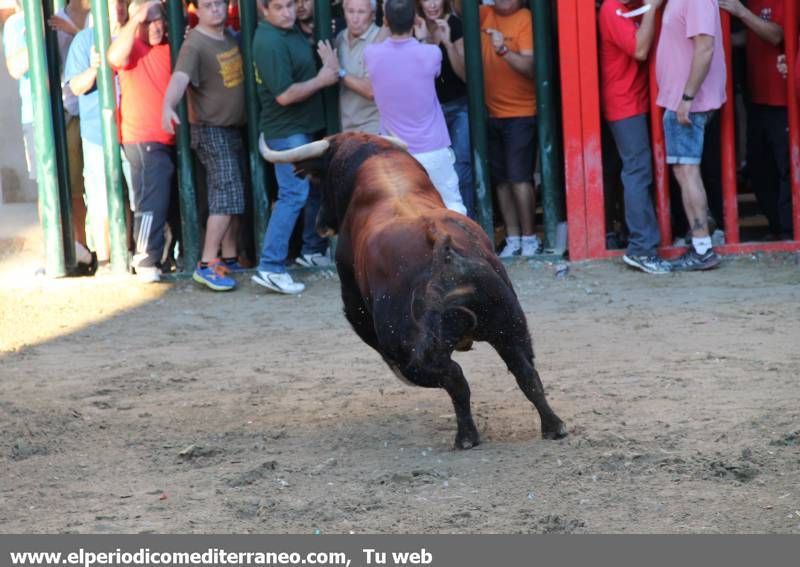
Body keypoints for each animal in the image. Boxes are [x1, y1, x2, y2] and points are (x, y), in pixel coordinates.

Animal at [260, 132, 564, 448]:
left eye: (321, 180)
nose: (321, 225)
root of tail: (444, 250)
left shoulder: (354, 300)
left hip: (412, 348)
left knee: (454, 377)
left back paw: (466, 437)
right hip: (510, 324)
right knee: (525, 372)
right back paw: (553, 426)